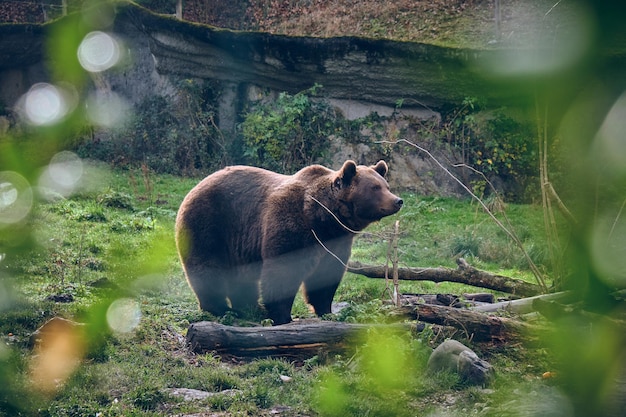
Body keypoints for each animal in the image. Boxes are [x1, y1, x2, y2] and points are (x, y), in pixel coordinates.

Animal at [173, 160, 402, 324]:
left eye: (386, 185)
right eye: (375, 187)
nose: (397, 200)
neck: (323, 218)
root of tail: (195, 187)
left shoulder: (335, 242)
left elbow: (326, 277)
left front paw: (327, 312)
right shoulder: (290, 223)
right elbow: (282, 271)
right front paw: (282, 316)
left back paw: (249, 308)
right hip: (208, 224)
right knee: (207, 267)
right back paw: (221, 309)